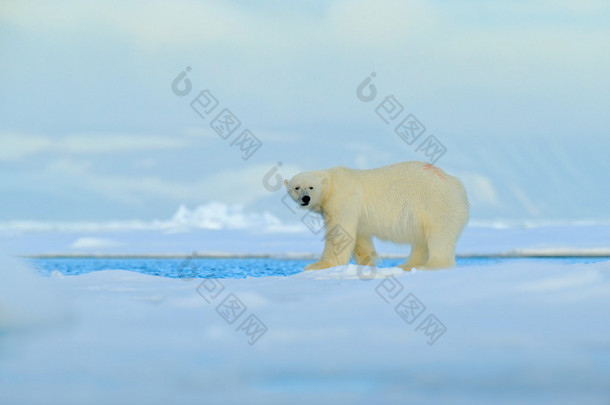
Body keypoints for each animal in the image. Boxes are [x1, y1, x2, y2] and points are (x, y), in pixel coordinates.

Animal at [282, 159, 468, 270]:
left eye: (311, 187)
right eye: (296, 187)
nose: (305, 198)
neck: (332, 183)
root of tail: (456, 183)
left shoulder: (342, 200)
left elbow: (339, 234)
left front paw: (317, 266)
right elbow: (359, 238)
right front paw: (369, 264)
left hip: (436, 203)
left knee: (439, 236)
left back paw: (431, 265)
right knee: (421, 241)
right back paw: (405, 266)